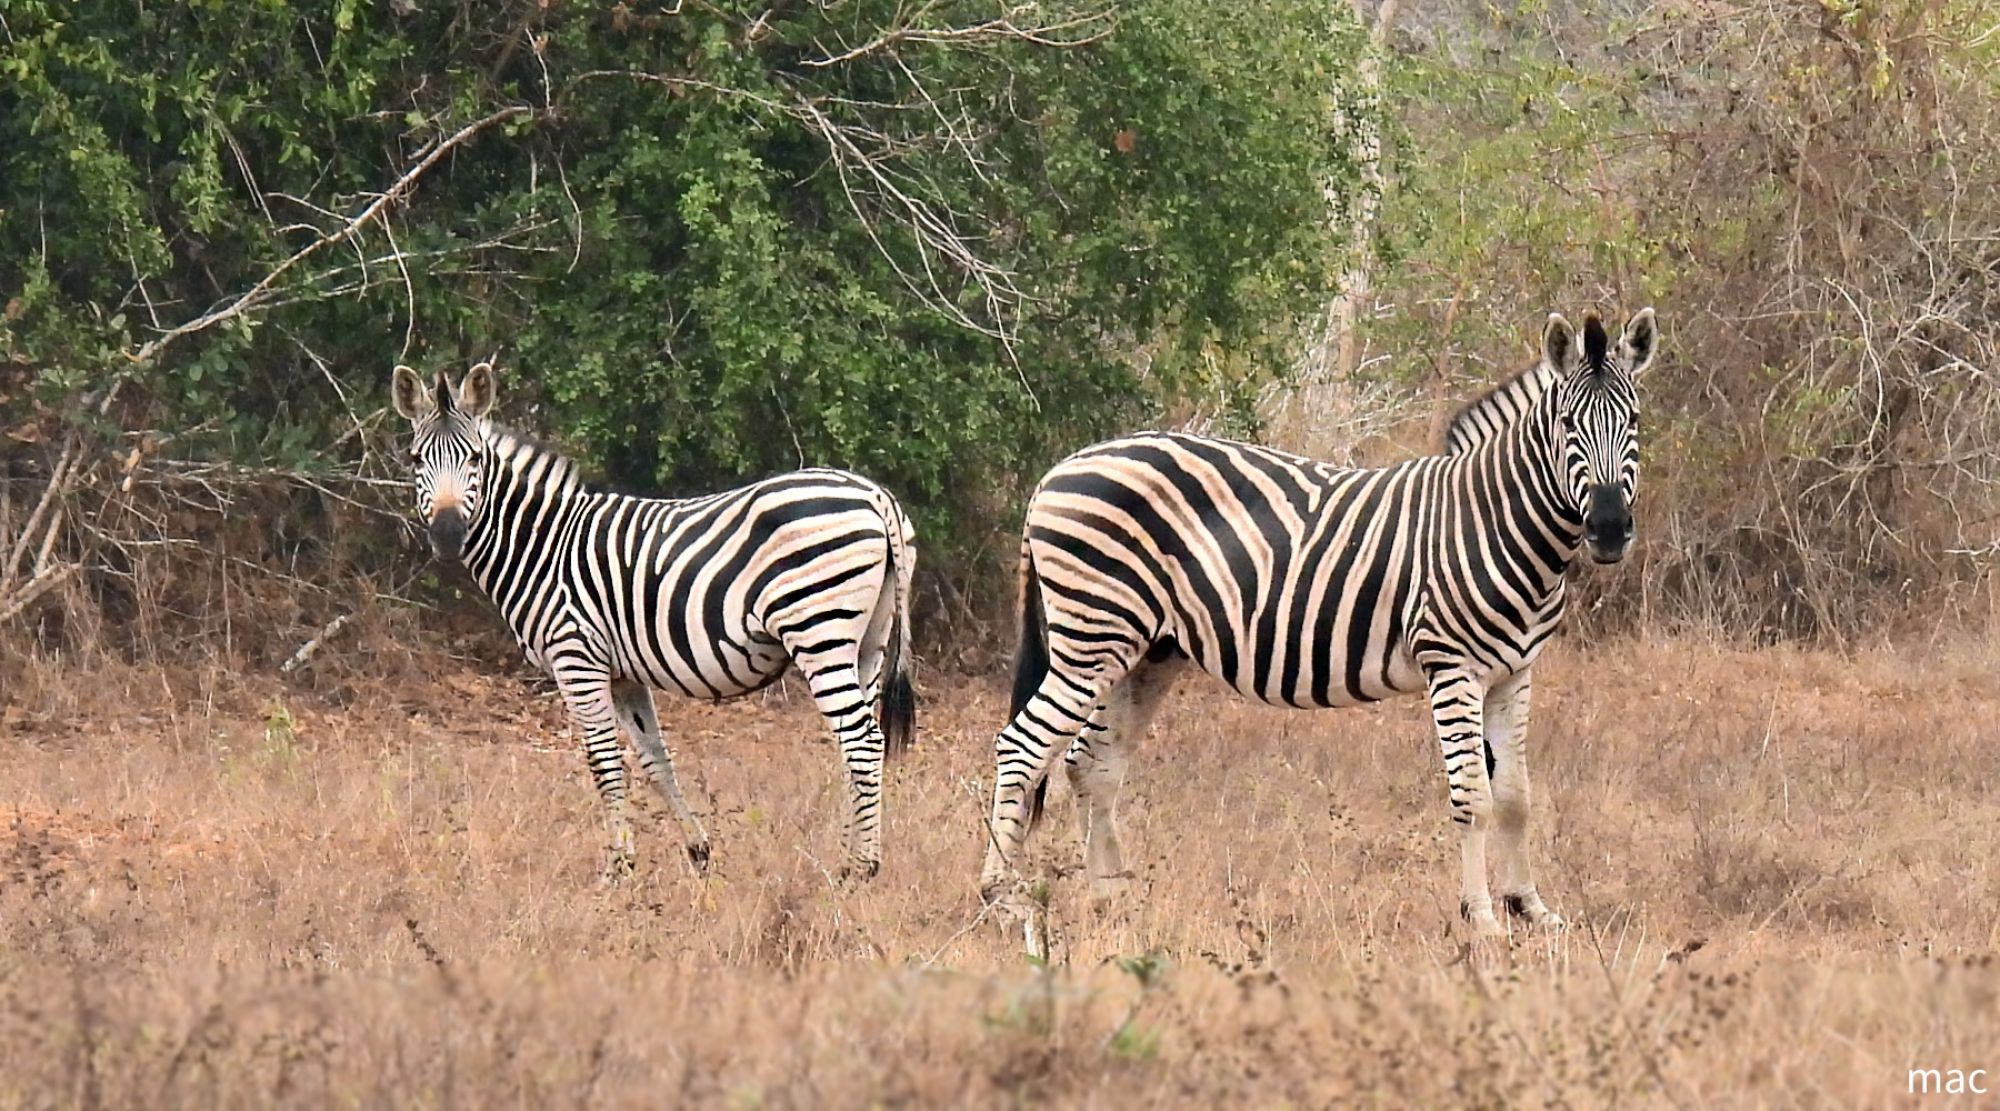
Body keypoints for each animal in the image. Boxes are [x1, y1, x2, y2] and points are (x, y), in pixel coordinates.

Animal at [391, 361, 917, 882]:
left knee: (862, 740)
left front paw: (619, 870)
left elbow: (604, 763)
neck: (544, 544)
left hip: (818, 628)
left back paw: (862, 869)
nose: (447, 535)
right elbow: (654, 759)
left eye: (475, 459)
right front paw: (699, 851)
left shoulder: (576, 658)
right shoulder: (622, 672)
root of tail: (875, 495)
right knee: (857, 744)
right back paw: (849, 856)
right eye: (416, 460)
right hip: (867, 640)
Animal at [977, 309, 1656, 936]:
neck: (1494, 518)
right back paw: (1004, 899)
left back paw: (1111, 899)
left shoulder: (1515, 671)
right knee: (1022, 747)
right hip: (1091, 638)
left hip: (1143, 652)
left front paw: (1532, 910)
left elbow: (1516, 797)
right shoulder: (1451, 666)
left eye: (1634, 423)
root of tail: (1056, 472)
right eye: (1567, 425)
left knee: (1091, 763)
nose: (1608, 530)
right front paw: (1483, 918)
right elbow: (1473, 798)